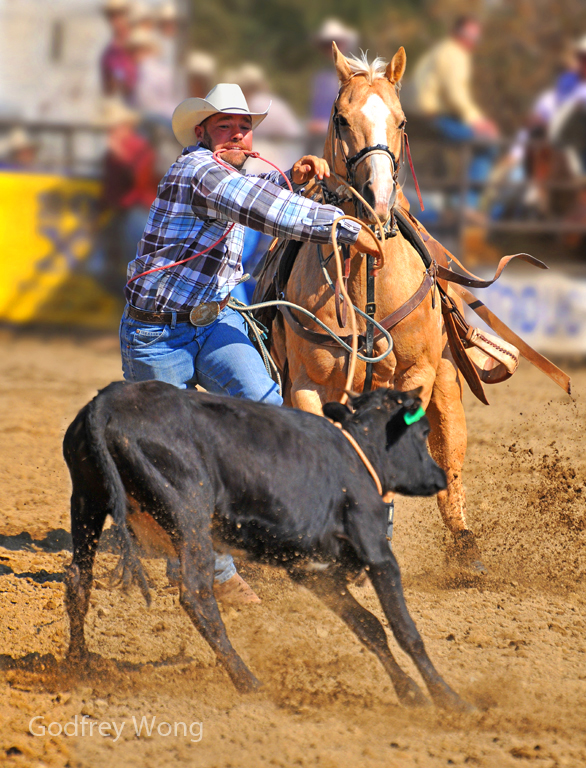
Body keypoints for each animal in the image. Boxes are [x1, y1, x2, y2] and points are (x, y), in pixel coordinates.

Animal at [63, 380, 470, 711]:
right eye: (422, 430)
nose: (439, 478)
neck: (359, 455)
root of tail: (107, 403)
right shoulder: (377, 552)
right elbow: (405, 631)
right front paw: (448, 699)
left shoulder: (313, 571)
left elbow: (368, 626)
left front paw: (410, 692)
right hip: (189, 514)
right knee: (196, 596)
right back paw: (249, 682)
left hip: (86, 501)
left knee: (78, 580)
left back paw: (79, 664)